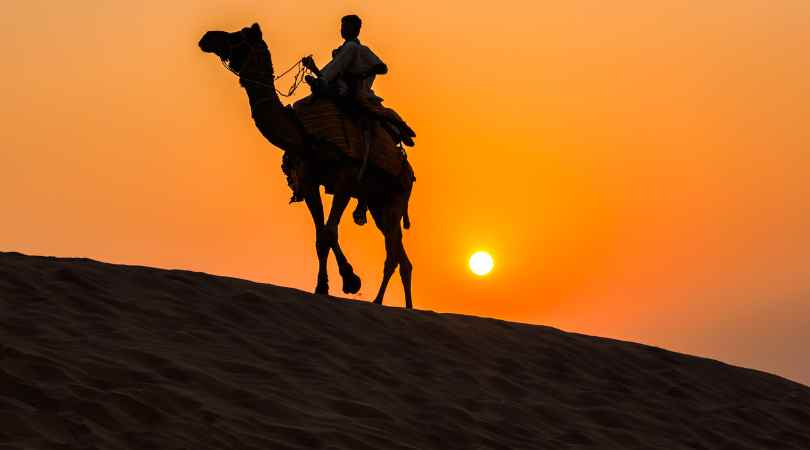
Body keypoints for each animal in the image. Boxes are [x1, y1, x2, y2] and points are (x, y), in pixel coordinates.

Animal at [198, 22, 414, 308]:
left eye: (239, 36)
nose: (207, 37)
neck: (302, 134)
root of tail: (408, 169)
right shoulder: (310, 181)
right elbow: (320, 235)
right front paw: (324, 286)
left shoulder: (346, 179)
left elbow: (329, 232)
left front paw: (350, 280)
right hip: (378, 204)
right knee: (400, 256)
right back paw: (396, 304)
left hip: (395, 199)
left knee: (394, 254)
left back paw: (384, 303)